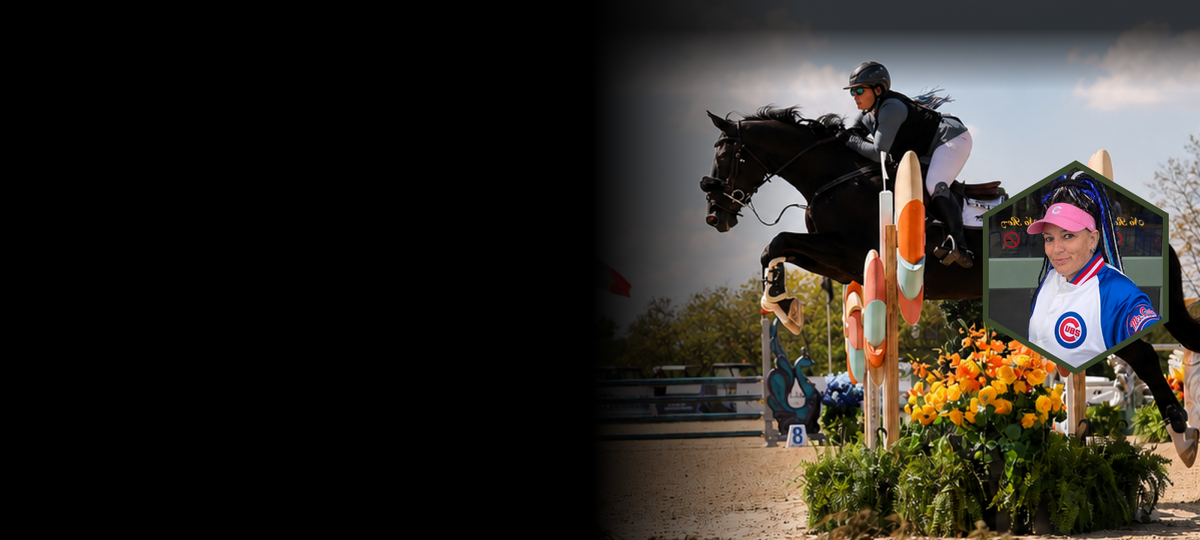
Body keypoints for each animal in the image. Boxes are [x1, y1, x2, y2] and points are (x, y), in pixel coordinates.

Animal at [699, 105, 1199, 464]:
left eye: (727, 156)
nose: (714, 217)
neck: (836, 178)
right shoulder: (840, 265)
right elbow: (776, 247)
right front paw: (783, 304)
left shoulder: (845, 252)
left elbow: (778, 240)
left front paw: (782, 303)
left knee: (1141, 356)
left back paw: (1181, 434)